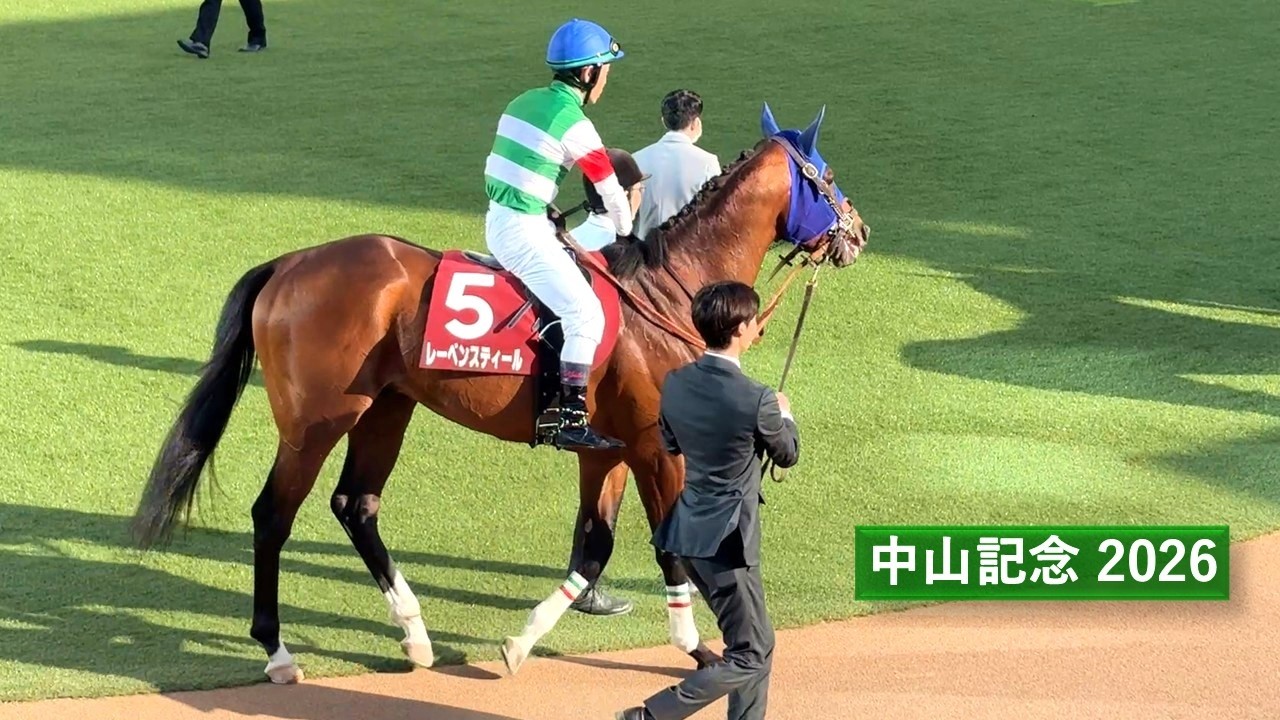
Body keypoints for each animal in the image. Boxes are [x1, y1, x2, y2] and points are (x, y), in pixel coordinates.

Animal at [129, 101, 870, 684]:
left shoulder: (606, 449)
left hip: (386, 408)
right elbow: (671, 543)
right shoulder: (656, 449)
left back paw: (414, 633)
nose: (859, 232)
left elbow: (595, 545)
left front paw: (520, 642)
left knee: (356, 505)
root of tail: (287, 264)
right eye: (827, 177)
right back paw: (278, 651)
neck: (667, 293)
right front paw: (700, 647)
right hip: (317, 420)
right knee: (273, 515)